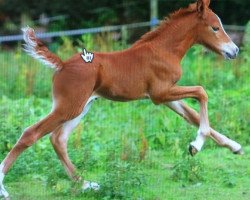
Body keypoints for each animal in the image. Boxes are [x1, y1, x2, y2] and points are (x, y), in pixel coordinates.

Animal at [0, 0, 242, 197]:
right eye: (215, 27)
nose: (235, 50)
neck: (164, 50)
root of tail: (62, 64)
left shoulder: (167, 95)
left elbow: (192, 115)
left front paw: (235, 147)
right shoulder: (160, 94)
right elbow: (202, 92)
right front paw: (195, 145)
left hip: (80, 108)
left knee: (58, 140)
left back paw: (87, 185)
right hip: (68, 107)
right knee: (31, 134)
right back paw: (4, 188)